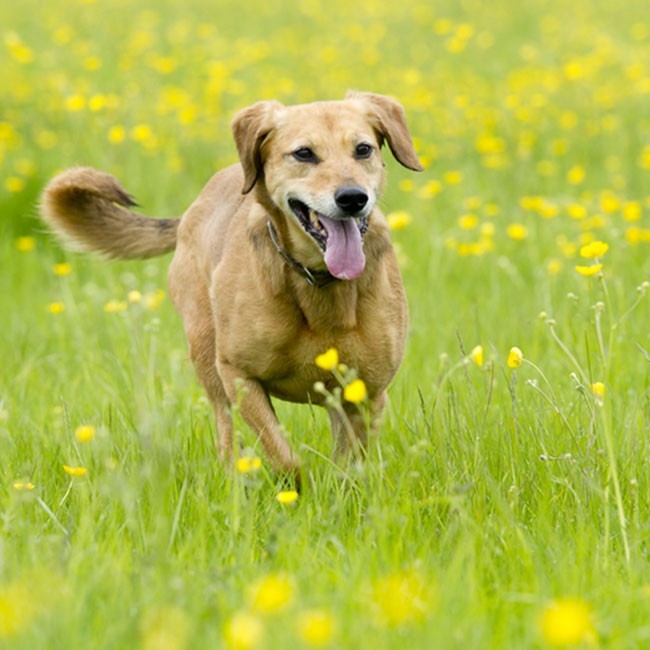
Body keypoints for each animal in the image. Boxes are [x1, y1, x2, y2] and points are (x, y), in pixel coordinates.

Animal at [41, 91, 426, 474]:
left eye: (363, 149)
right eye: (304, 153)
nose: (352, 198)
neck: (317, 281)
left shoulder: (366, 392)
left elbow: (348, 468)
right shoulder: (237, 375)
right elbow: (284, 458)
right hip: (205, 352)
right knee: (224, 431)